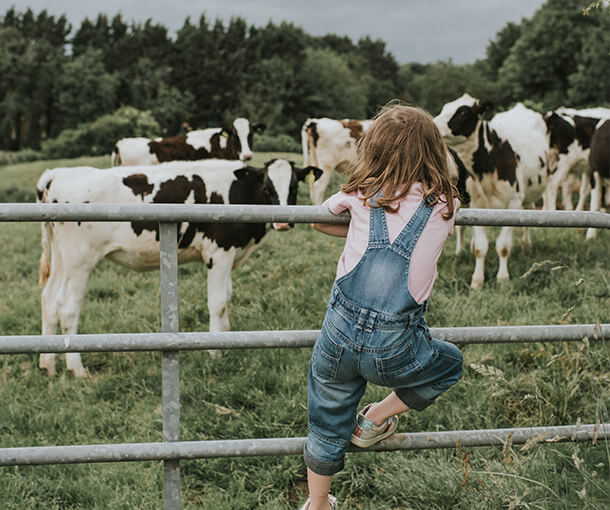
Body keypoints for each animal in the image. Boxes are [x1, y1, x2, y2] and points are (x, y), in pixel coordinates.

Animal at [36, 159, 324, 378]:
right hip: (79, 261)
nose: (284, 222)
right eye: (267, 186)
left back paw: (48, 364)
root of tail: (56, 173)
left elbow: (227, 299)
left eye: (294, 186)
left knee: (49, 301)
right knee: (67, 309)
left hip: (62, 259)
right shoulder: (219, 254)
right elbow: (218, 302)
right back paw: (77, 369)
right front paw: (214, 351)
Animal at [432, 93, 552, 288]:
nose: (434, 123)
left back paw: (527, 247)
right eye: (445, 107)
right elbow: (480, 247)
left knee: (529, 215)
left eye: (463, 112)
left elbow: (503, 245)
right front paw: (477, 280)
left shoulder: (513, 204)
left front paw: (502, 278)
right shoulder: (477, 204)